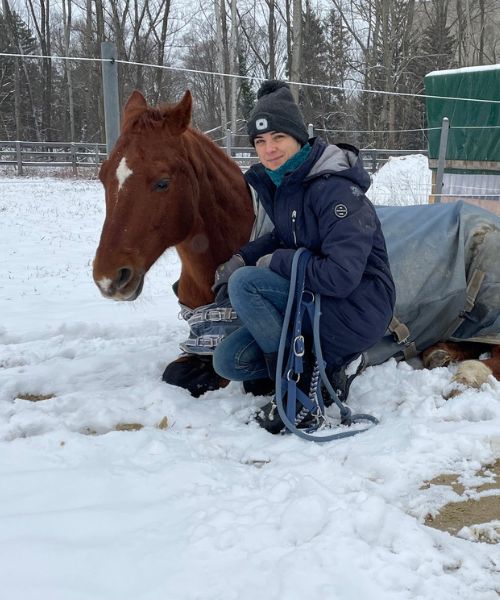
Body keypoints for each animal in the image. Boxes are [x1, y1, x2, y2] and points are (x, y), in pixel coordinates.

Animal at [93, 89, 500, 398]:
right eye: (103, 175)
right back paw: (440, 353)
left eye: (162, 182)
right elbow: (176, 372)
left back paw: (465, 374)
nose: (109, 278)